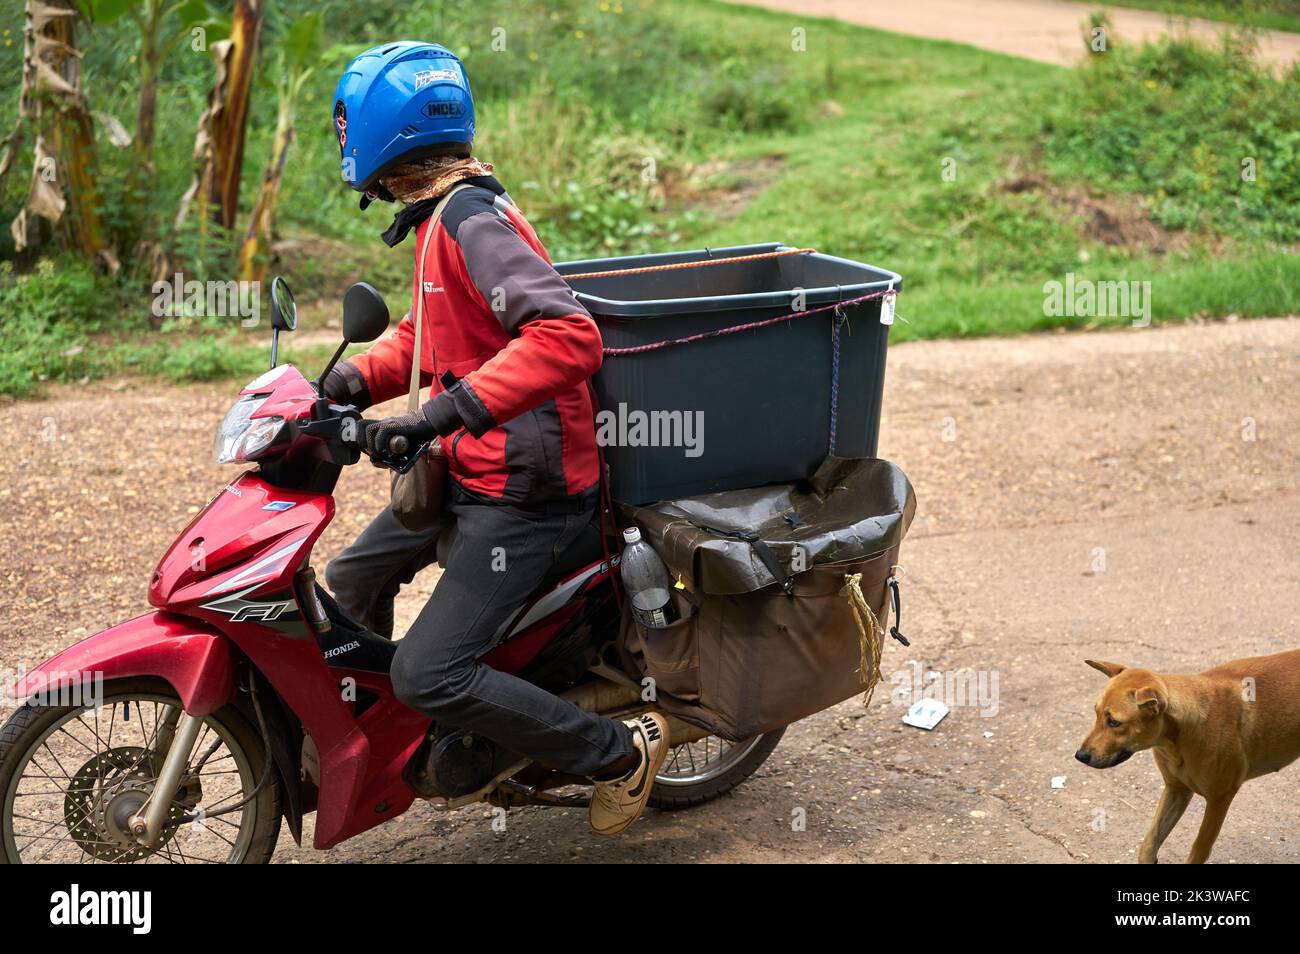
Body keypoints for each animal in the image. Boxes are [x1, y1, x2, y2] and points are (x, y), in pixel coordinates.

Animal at [1076, 657, 1300, 868]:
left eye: (1114, 722)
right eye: (1096, 713)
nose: (1080, 755)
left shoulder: (1219, 800)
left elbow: (1198, 851)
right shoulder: (1176, 790)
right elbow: (1148, 844)